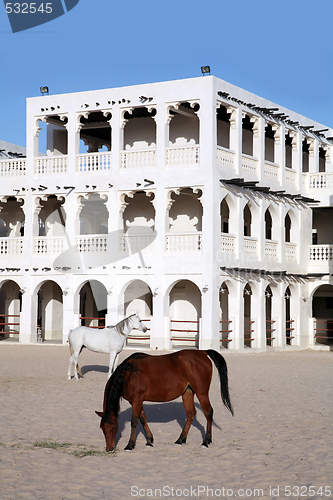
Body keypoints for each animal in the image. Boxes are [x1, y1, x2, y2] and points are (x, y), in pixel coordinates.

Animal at [94, 348, 232, 454]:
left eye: (114, 426)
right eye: (102, 427)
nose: (109, 449)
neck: (130, 373)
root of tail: (203, 352)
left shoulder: (137, 399)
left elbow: (134, 421)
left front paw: (130, 445)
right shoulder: (136, 401)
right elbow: (142, 418)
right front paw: (149, 441)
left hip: (201, 392)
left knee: (208, 412)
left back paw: (206, 441)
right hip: (187, 393)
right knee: (190, 414)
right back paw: (180, 440)